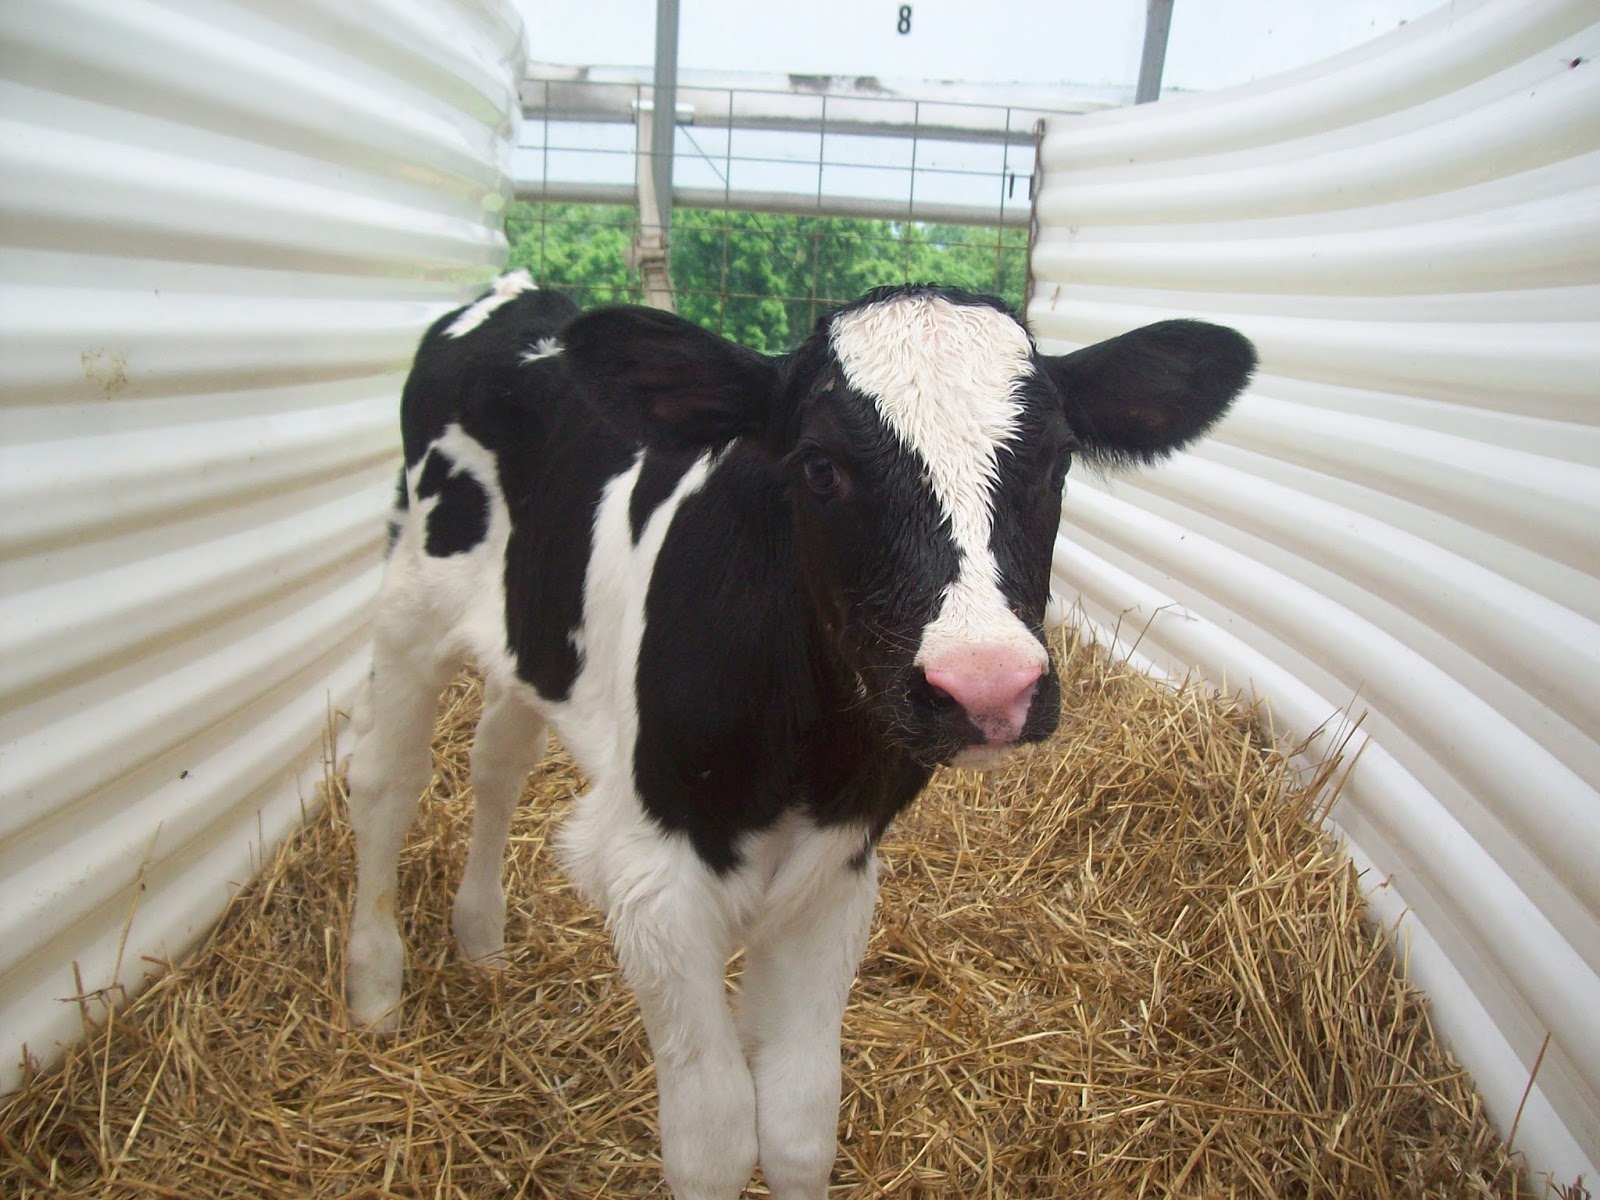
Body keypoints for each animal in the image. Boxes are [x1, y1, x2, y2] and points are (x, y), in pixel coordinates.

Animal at [344, 269, 1255, 1200]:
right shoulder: (654, 880)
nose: (987, 684)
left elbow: (797, 1123)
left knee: (497, 757)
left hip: (531, 635)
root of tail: (519, 290)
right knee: (389, 775)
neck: (804, 759)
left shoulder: (835, 876)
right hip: (411, 596)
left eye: (1056, 459)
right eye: (820, 467)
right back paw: (376, 988)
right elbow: (713, 1139)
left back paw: (481, 939)